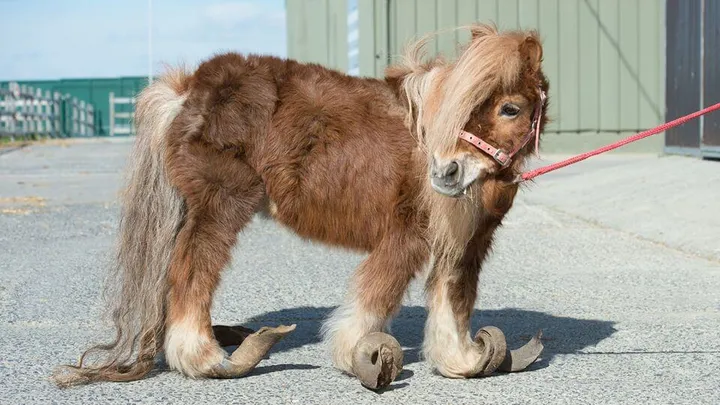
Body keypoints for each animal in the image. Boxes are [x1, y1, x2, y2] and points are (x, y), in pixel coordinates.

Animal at [52, 23, 550, 390]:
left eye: (510, 109)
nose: (445, 173)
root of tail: (186, 90)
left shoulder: (464, 243)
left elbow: (454, 298)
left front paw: (462, 359)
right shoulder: (406, 235)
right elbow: (375, 297)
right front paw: (361, 357)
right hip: (220, 205)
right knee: (192, 272)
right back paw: (209, 360)